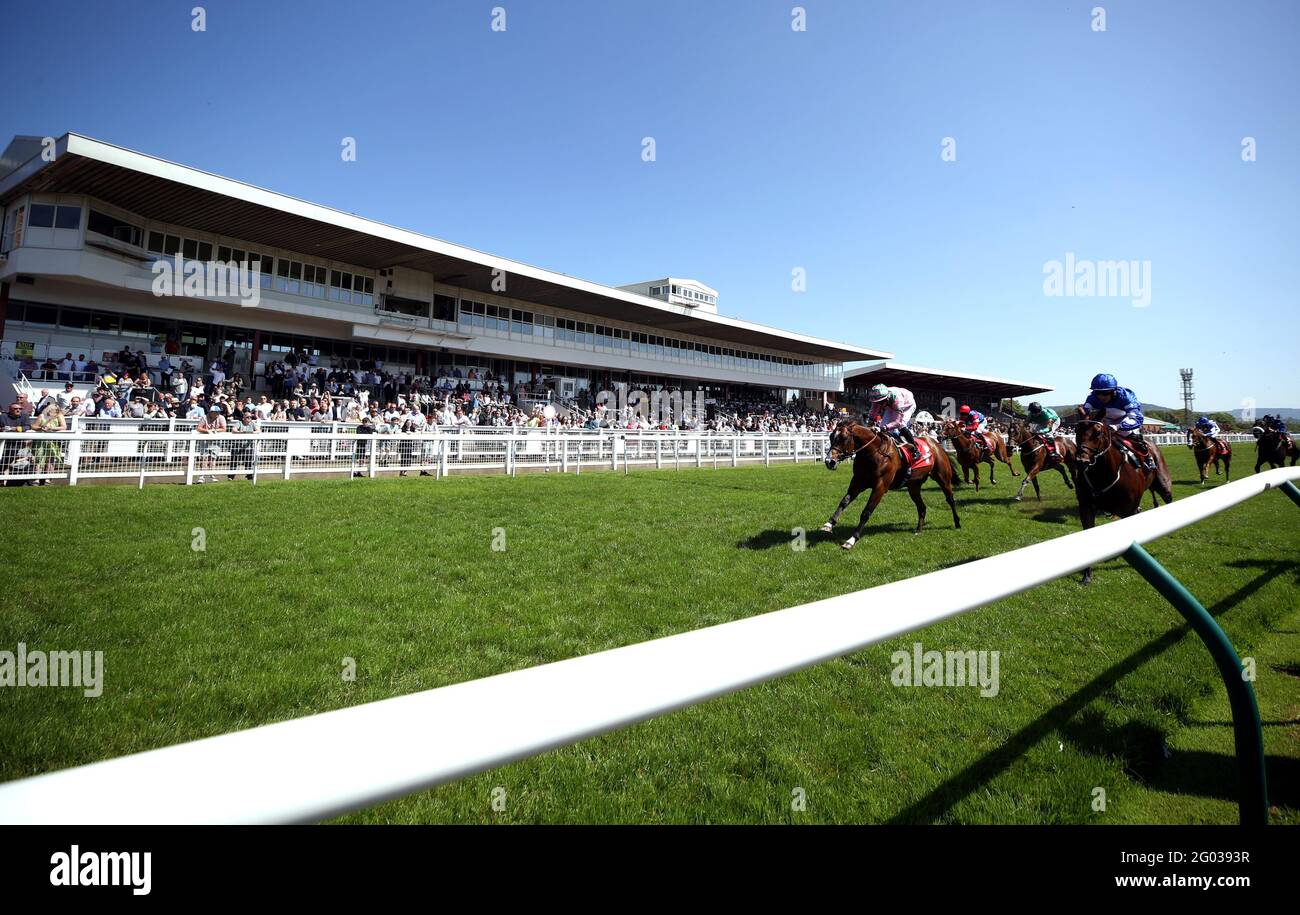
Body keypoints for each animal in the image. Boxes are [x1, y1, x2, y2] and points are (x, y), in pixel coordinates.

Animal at [816, 421, 961, 551]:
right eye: (831, 437)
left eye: (844, 438)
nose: (829, 461)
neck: (874, 452)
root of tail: (936, 444)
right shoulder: (858, 482)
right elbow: (844, 501)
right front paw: (829, 524)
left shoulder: (880, 487)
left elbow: (866, 512)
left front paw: (851, 540)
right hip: (913, 486)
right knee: (922, 507)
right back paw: (919, 530)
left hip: (943, 479)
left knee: (950, 499)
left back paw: (957, 523)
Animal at [1071, 421, 1175, 587]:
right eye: (1077, 431)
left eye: (1097, 433)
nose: (1081, 461)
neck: (1105, 474)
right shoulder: (1086, 507)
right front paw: (1087, 575)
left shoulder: (1129, 510)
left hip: (1164, 486)